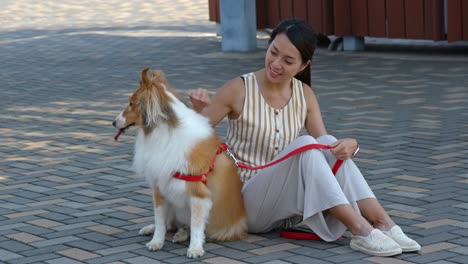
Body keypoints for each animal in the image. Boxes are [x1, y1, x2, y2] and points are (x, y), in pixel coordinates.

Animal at [112, 68, 247, 258]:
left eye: (131, 103)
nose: (113, 122)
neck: (166, 131)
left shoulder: (198, 195)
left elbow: (197, 226)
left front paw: (195, 249)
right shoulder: (160, 186)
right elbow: (160, 221)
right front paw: (156, 242)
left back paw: (182, 235)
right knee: (170, 224)